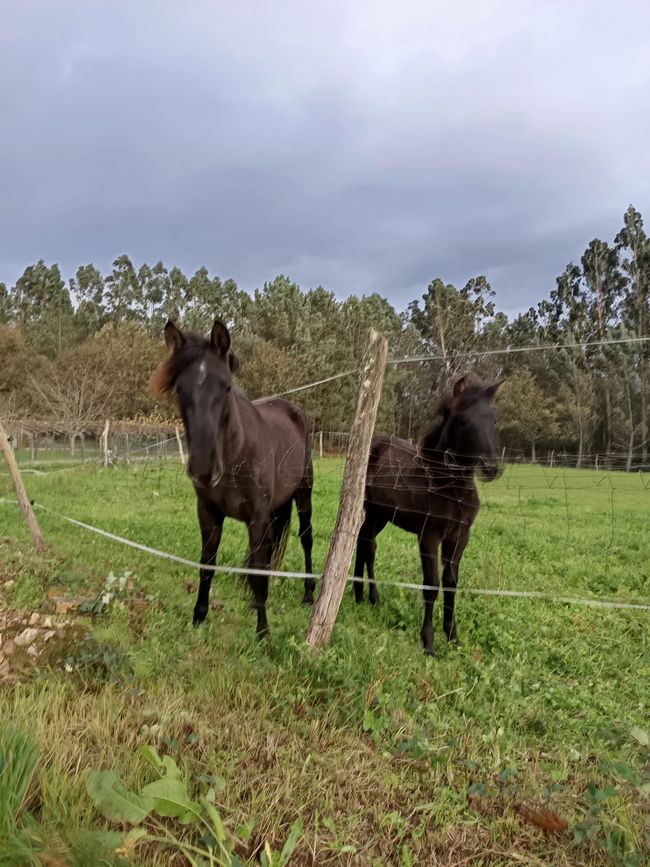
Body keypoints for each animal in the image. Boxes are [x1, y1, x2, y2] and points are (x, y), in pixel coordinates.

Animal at [152, 318, 314, 636]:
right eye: (179, 389)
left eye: (226, 387)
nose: (203, 467)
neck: (235, 456)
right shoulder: (209, 513)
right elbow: (208, 564)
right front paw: (199, 618)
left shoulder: (258, 518)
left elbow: (257, 572)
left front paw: (263, 633)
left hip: (303, 495)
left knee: (306, 538)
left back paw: (309, 596)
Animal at [354, 376, 502, 656]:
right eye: (462, 420)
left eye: (494, 420)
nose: (492, 468)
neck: (449, 488)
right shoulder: (429, 535)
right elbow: (431, 585)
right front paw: (429, 642)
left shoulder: (459, 536)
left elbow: (451, 583)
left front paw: (453, 637)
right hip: (371, 511)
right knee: (364, 544)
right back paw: (361, 596)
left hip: (382, 516)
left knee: (367, 545)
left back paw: (371, 598)